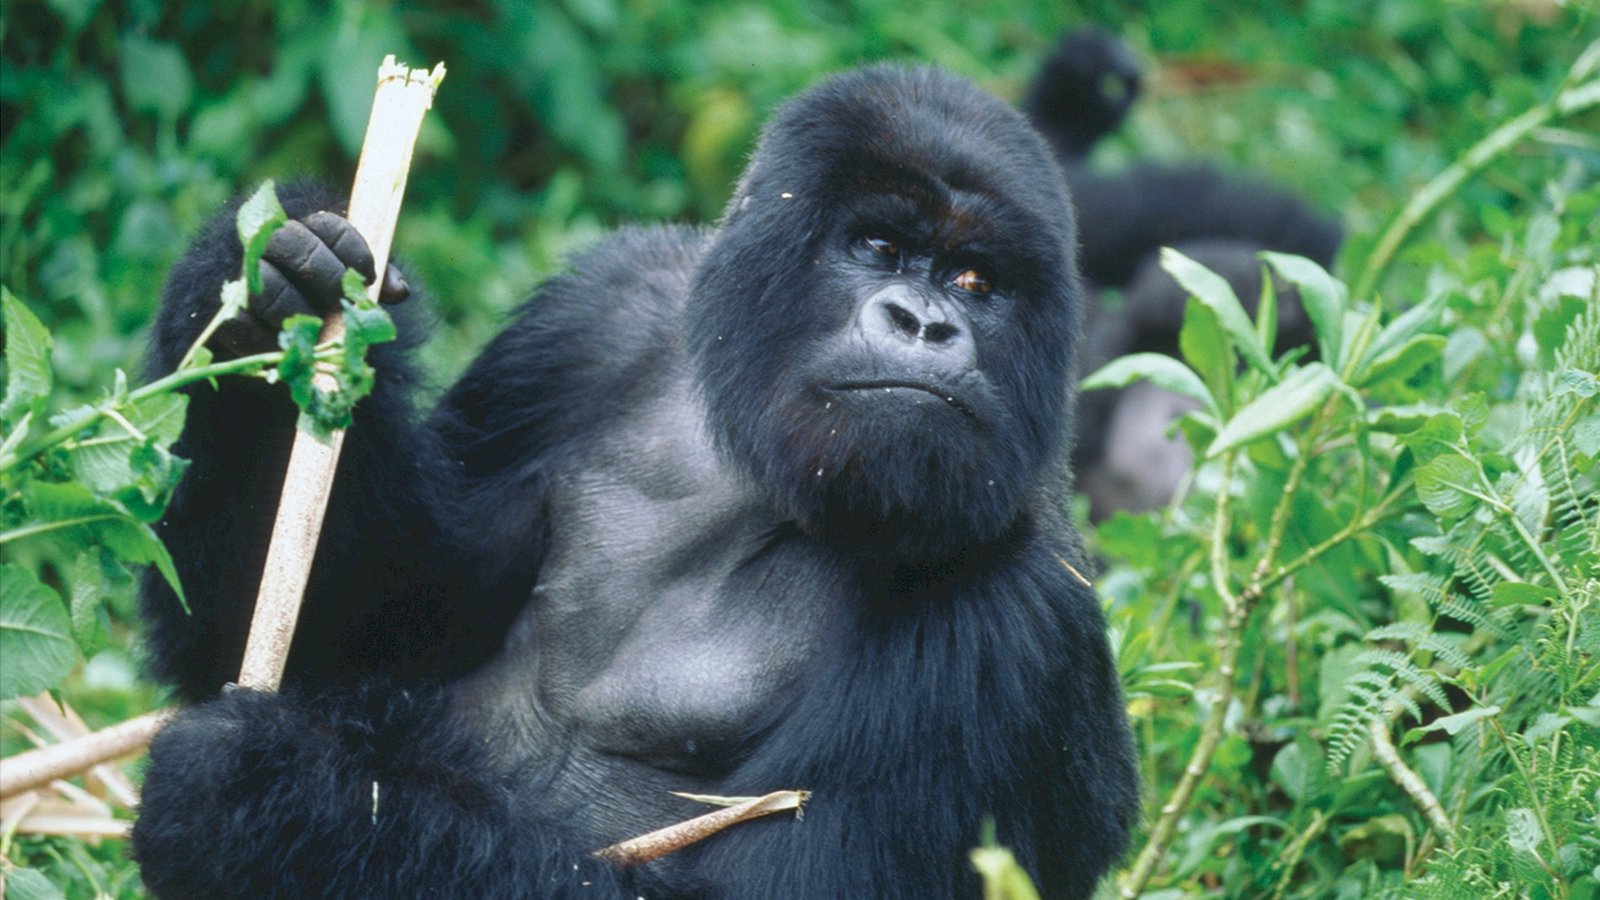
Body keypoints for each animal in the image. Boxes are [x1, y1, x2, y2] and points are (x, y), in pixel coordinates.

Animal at [134, 64, 1139, 896]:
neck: (760, 468)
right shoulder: (592, 321)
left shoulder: (1019, 616)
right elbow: (354, 633)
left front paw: (262, 797)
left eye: (975, 282)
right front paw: (265, 297)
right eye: (880, 248)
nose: (926, 325)